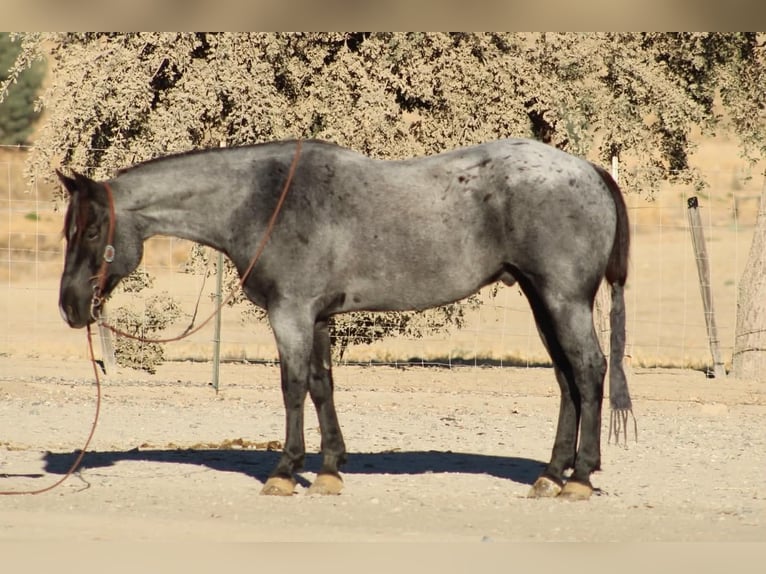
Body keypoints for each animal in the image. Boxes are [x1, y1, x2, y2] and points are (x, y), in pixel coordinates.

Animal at [57, 137, 632, 500]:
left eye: (91, 230)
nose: (69, 306)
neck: (265, 200)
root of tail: (588, 170)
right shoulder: (316, 317)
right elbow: (321, 385)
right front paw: (330, 470)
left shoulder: (290, 313)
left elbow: (291, 387)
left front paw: (286, 471)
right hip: (542, 301)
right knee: (566, 380)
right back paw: (552, 474)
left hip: (563, 300)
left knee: (588, 371)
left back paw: (579, 477)